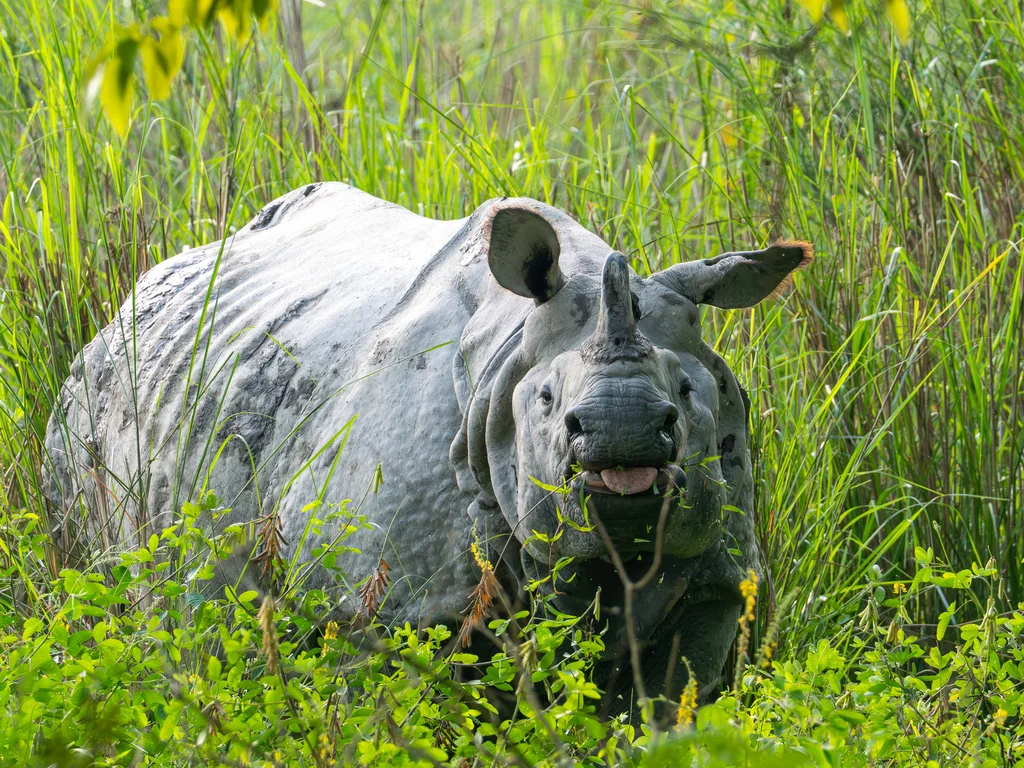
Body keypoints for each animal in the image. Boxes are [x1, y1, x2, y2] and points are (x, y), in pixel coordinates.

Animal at [44, 183, 810, 709]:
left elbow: (667, 707)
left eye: (685, 395)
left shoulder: (719, 582)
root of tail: (135, 293)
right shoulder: (379, 604)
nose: (623, 437)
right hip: (89, 400)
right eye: (547, 404)